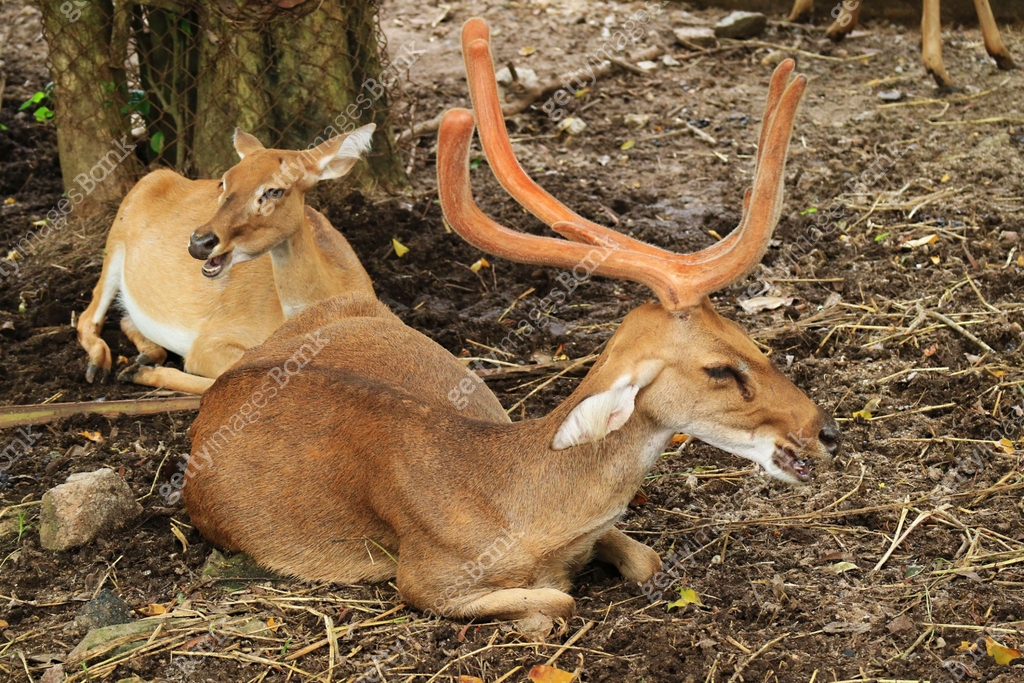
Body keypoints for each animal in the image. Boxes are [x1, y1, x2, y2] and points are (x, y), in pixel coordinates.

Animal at [76, 125, 376, 395]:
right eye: (224, 180)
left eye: (274, 190)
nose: (199, 242)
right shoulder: (211, 340)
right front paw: (140, 373)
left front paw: (140, 370)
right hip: (116, 241)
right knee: (87, 316)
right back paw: (103, 367)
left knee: (125, 319)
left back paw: (144, 358)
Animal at [182, 18, 840, 624]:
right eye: (719, 369)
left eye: (749, 339)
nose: (825, 431)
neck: (523, 509)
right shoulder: (423, 577)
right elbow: (558, 601)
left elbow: (645, 560)